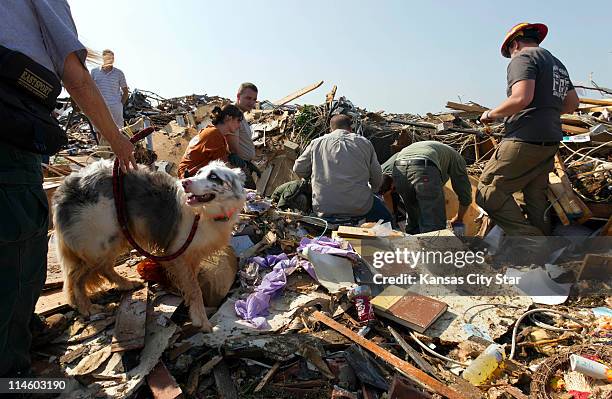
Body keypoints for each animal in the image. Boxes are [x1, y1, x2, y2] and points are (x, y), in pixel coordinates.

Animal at [51, 159, 245, 332]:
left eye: (213, 176)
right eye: (198, 173)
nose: (185, 183)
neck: (205, 214)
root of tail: (65, 187)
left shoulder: (192, 256)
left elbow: (192, 285)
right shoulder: (178, 253)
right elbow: (195, 290)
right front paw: (202, 321)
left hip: (117, 237)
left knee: (103, 268)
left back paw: (126, 284)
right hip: (99, 244)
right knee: (75, 277)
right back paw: (87, 307)